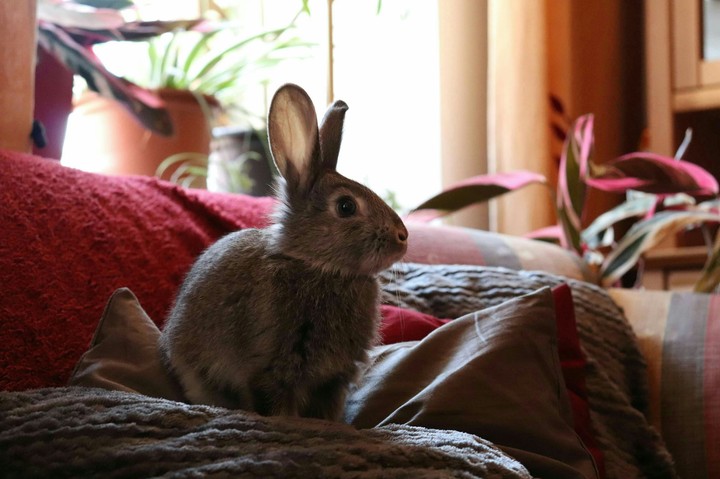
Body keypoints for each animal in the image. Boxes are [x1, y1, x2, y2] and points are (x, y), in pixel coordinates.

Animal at [159, 83, 408, 421]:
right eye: (346, 206)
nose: (403, 236)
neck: (317, 265)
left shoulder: (335, 379)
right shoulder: (271, 365)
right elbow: (277, 405)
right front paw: (289, 421)